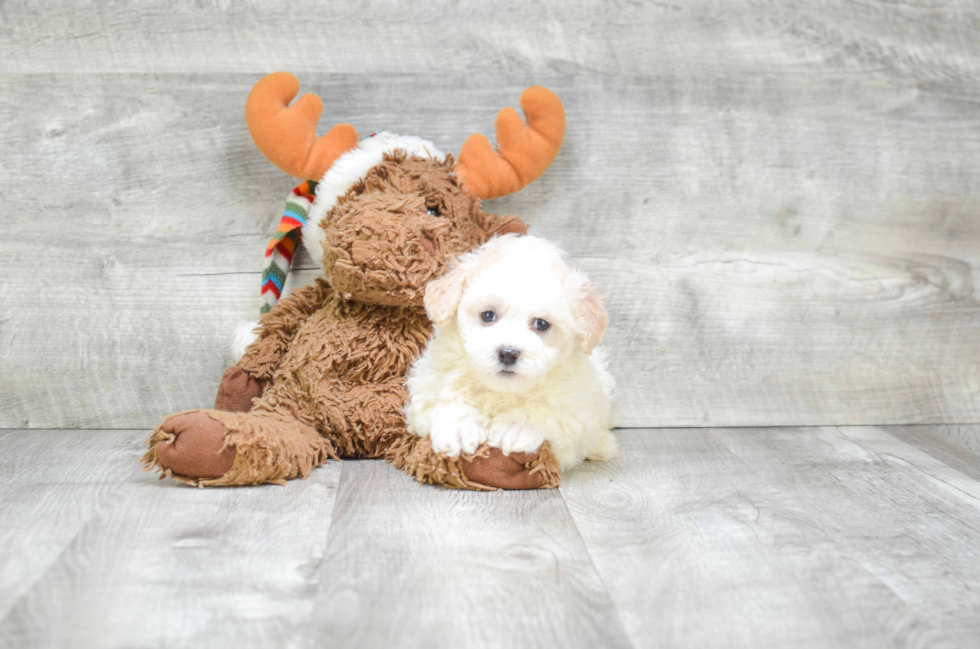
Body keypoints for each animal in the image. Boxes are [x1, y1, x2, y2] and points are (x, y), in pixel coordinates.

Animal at [402, 234, 616, 470]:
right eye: (488, 315)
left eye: (541, 324)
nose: (508, 353)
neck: (502, 391)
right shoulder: (428, 386)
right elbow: (446, 400)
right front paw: (458, 428)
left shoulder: (575, 413)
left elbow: (546, 408)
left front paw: (516, 426)